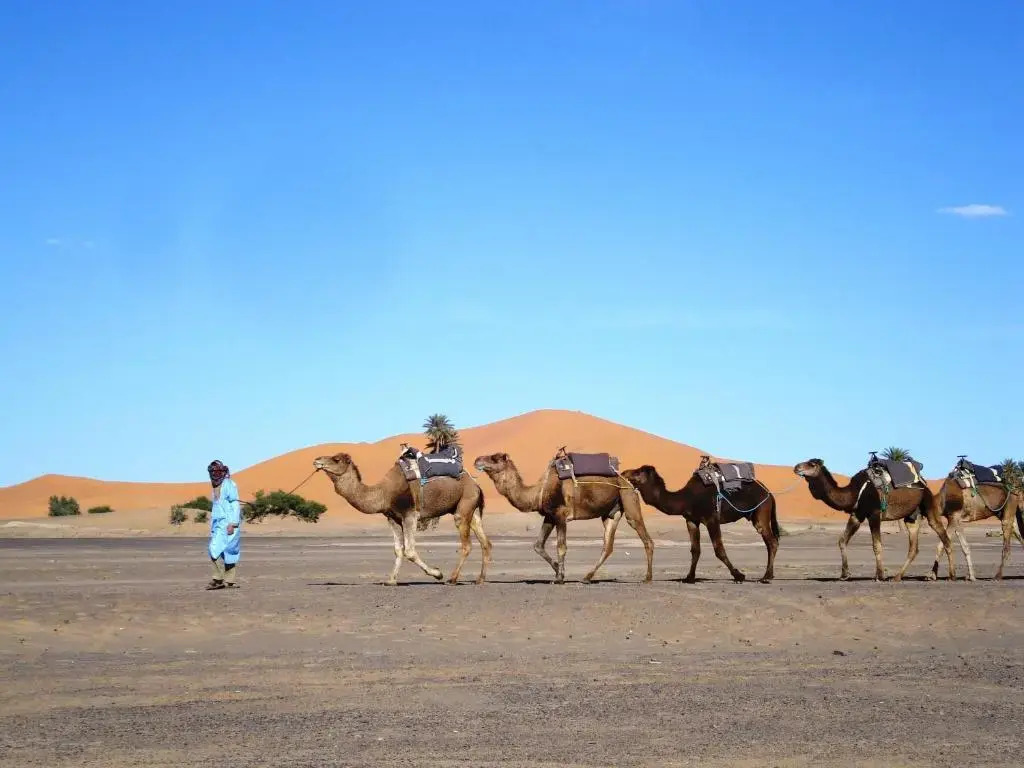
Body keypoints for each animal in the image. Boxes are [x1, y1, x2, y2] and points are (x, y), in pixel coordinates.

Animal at [312, 452, 491, 585]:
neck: (384, 493)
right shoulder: (393, 518)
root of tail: (476, 485)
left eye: (336, 459)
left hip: (464, 504)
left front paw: (437, 573)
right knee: (485, 542)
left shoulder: (410, 515)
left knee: (467, 544)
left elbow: (409, 551)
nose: (316, 460)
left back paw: (452, 579)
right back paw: (480, 580)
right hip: (472, 510)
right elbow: (398, 550)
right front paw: (391, 580)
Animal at [472, 451, 654, 583]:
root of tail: (627, 480)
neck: (538, 492)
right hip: (611, 514)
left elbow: (561, 546)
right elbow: (538, 545)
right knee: (607, 546)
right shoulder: (549, 516)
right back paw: (587, 577)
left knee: (645, 538)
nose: (477, 460)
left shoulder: (561, 514)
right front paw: (559, 570)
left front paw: (559, 578)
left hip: (628, 498)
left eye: (494, 458)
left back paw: (647, 578)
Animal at [621, 464, 779, 583]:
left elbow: (718, 549)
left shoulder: (712, 518)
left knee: (772, 541)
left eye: (638, 471)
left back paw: (766, 577)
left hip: (761, 510)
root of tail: (769, 493)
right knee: (769, 542)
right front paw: (689, 577)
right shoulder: (691, 520)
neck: (686, 498)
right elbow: (695, 550)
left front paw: (738, 575)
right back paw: (769, 575)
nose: (624, 472)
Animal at [793, 458, 955, 581]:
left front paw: (880, 575)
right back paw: (897, 577)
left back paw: (950, 575)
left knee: (945, 538)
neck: (855, 492)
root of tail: (923, 481)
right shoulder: (857, 515)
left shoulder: (874, 514)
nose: (796, 467)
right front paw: (844, 574)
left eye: (811, 464)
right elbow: (842, 541)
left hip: (928, 503)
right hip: (912, 517)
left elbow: (877, 545)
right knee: (913, 548)